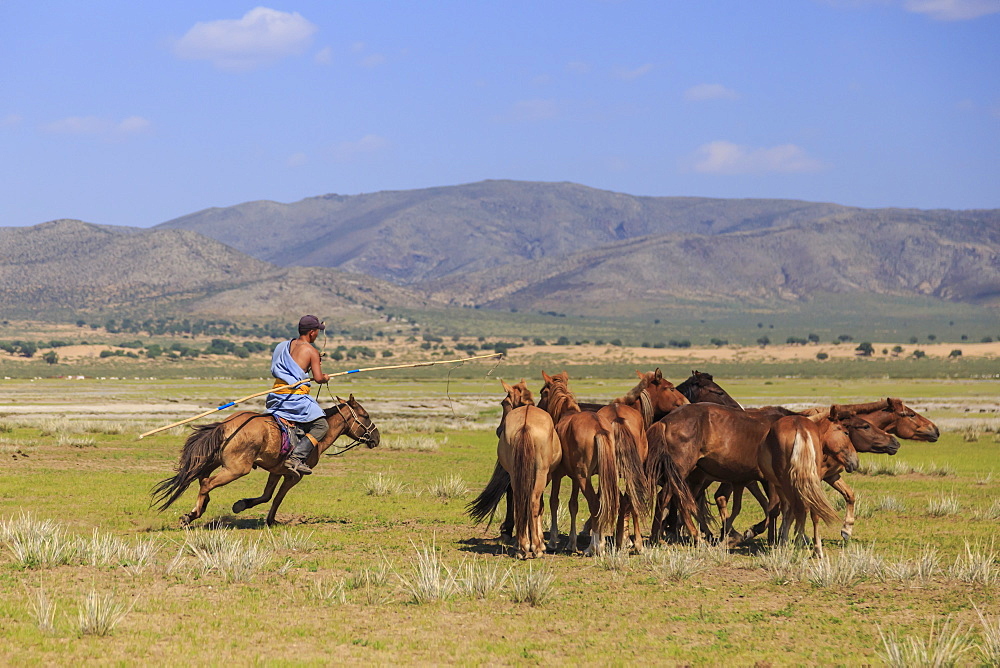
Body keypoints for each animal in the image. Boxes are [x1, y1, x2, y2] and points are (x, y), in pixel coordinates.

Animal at [151, 396, 378, 528]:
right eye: (365, 415)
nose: (376, 438)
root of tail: (226, 425)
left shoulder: (276, 471)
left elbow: (267, 495)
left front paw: (242, 504)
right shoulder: (294, 476)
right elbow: (277, 498)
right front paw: (270, 520)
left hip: (212, 462)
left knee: (201, 480)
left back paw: (195, 512)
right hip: (236, 469)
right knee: (207, 483)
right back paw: (194, 514)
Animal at [494, 380, 560, 560]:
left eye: (503, 403)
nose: (498, 430)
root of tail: (525, 425)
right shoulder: (546, 476)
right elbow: (541, 506)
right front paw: (540, 542)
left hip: (515, 474)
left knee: (519, 501)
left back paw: (522, 546)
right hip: (541, 474)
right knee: (532, 502)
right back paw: (535, 547)